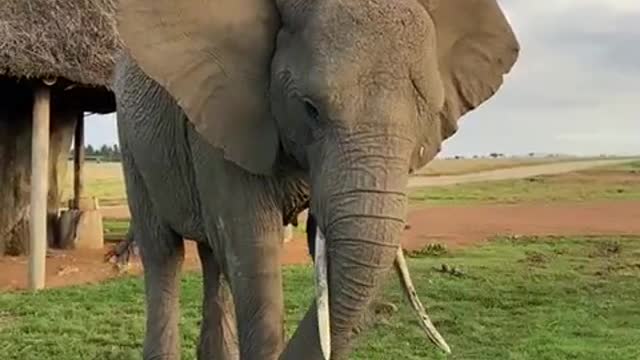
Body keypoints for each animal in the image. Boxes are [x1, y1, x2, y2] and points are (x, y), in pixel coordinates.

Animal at [112, 0, 516, 360]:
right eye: (310, 109)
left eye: (430, 116)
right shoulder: (224, 118)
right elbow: (252, 250)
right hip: (130, 140)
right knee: (164, 254)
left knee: (212, 258)